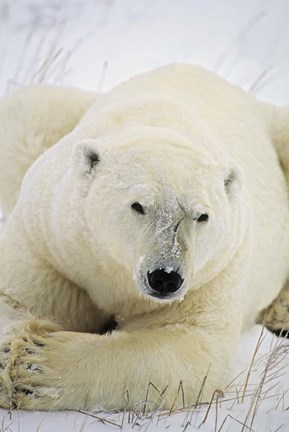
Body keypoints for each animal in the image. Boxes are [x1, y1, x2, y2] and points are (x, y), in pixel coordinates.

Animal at [0, 65, 288, 412]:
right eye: (138, 206)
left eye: (202, 216)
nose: (165, 277)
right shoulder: (50, 242)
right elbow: (17, 299)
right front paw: (15, 355)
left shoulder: (214, 272)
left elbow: (189, 346)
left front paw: (36, 362)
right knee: (26, 110)